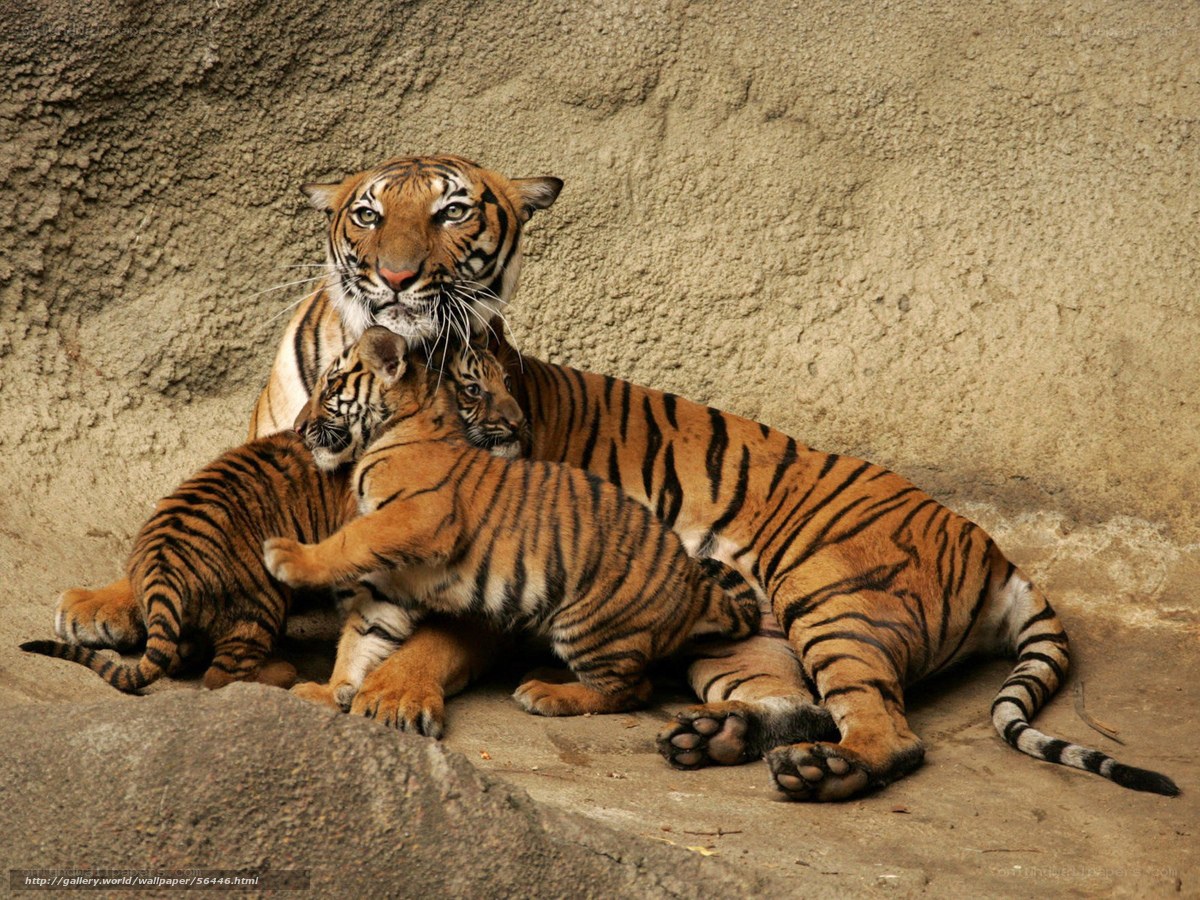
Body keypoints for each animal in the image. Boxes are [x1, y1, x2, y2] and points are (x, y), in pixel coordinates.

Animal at [262, 326, 761, 717]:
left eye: (330, 387)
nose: (299, 428)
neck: (400, 425)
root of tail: (696, 587)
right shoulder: (394, 579)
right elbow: (363, 636)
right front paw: (328, 691)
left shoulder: (417, 517)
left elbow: (351, 540)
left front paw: (287, 557)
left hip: (589, 623)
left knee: (633, 689)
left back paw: (547, 693)